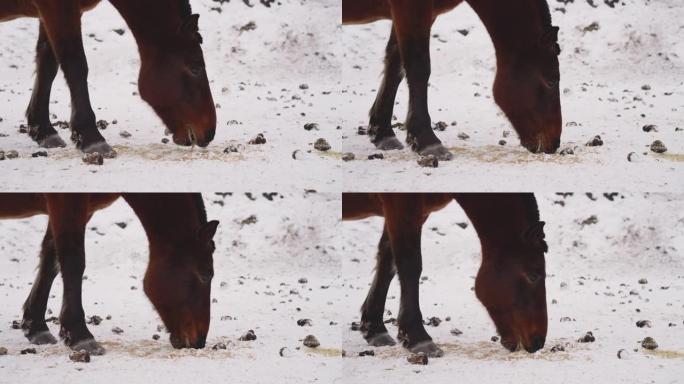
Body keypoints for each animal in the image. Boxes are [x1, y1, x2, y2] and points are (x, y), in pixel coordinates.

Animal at [0, 0, 216, 158]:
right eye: (196, 68)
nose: (209, 132)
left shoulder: (53, 13)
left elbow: (48, 63)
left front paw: (43, 129)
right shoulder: (59, 9)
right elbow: (75, 66)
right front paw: (91, 137)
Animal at [0, 194, 219, 356]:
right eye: (205, 275)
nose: (200, 341)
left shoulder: (81, 211)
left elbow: (51, 259)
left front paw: (36, 326)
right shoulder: (66, 204)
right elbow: (73, 262)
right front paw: (80, 336)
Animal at [342, 0, 560, 159]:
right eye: (550, 82)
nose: (554, 144)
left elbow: (395, 66)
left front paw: (382, 132)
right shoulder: (412, 9)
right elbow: (418, 68)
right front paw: (427, 141)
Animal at [342, 194, 552, 358]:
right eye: (533, 275)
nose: (538, 342)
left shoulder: (414, 213)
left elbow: (388, 261)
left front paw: (374, 328)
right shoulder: (402, 207)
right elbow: (410, 265)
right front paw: (418, 338)